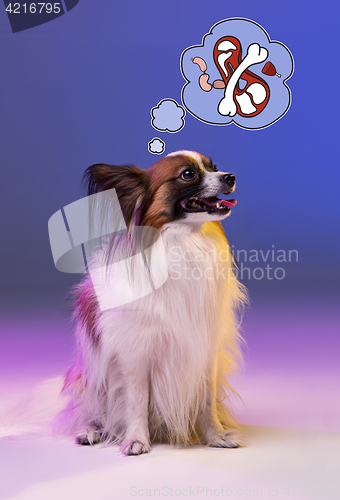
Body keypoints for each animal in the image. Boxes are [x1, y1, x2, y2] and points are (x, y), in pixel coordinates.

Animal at [55, 150, 247, 456]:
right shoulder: (135, 354)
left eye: (214, 166)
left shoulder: (204, 349)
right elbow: (136, 401)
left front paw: (215, 436)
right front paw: (136, 439)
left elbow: (206, 401)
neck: (183, 242)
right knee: (90, 411)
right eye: (187, 174)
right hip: (93, 380)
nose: (230, 177)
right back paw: (89, 430)